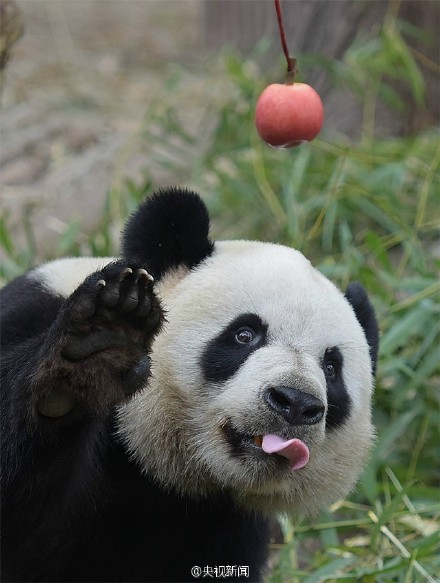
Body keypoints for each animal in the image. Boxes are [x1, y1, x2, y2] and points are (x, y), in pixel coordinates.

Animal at [0, 189, 378, 580]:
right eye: (245, 334)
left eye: (331, 368)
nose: (295, 402)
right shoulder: (30, 313)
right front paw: (94, 353)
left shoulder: (219, 524)